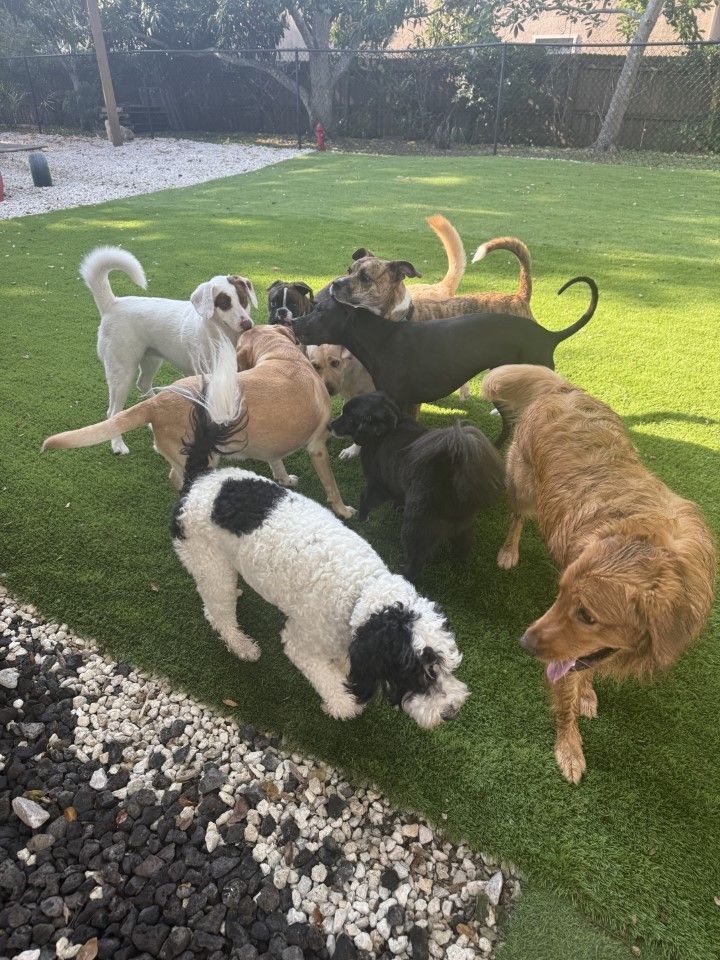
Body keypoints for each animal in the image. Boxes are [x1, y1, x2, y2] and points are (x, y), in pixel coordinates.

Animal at [42, 325, 355, 519]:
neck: (283, 356)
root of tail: (157, 401)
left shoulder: (272, 445)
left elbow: (276, 462)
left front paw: (285, 478)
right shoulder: (317, 446)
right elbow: (331, 486)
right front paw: (342, 509)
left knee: (174, 478)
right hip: (204, 458)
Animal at [81, 246, 257, 455]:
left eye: (244, 300)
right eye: (224, 303)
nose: (247, 324)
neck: (221, 335)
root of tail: (112, 304)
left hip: (151, 360)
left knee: (143, 384)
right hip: (122, 372)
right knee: (113, 412)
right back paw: (118, 444)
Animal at [170, 368, 469, 727]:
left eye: (448, 666)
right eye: (421, 674)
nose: (452, 711)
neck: (360, 592)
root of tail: (199, 479)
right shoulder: (301, 641)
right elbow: (331, 683)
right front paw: (341, 705)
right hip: (208, 562)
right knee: (218, 614)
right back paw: (242, 645)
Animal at [330, 392, 504, 581]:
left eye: (349, 417)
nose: (328, 425)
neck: (386, 428)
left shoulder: (378, 485)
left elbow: (365, 500)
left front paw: (361, 518)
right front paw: (397, 506)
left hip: (415, 528)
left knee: (416, 562)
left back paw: (403, 574)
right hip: (462, 526)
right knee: (465, 545)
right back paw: (457, 561)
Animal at [483, 364, 716, 784]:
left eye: (587, 615)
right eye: (558, 593)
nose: (524, 644)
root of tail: (566, 389)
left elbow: (585, 664)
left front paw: (587, 692)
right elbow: (565, 695)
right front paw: (569, 747)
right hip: (522, 485)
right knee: (517, 516)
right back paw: (509, 550)